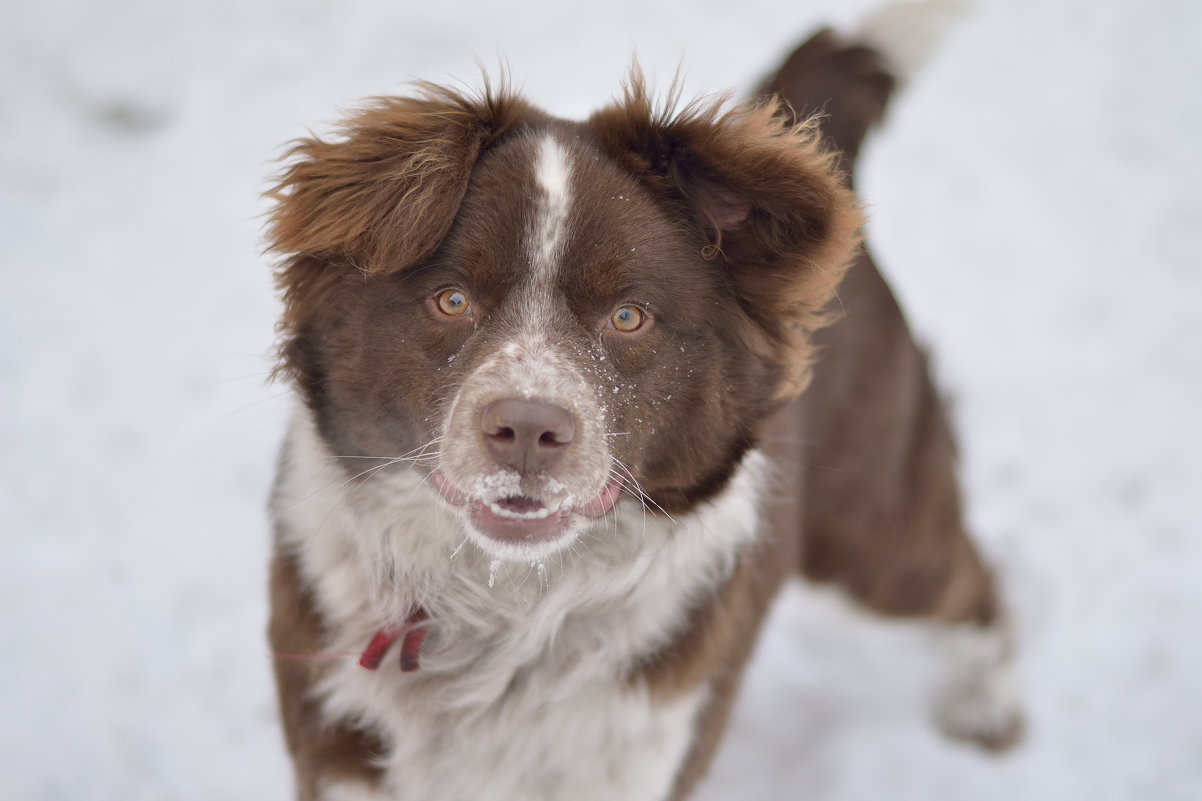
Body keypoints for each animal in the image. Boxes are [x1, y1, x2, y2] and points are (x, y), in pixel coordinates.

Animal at [265, 3, 1024, 793]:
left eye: (628, 316)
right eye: (451, 300)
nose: (528, 429)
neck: (503, 606)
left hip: (871, 525)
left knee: (977, 585)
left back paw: (986, 707)